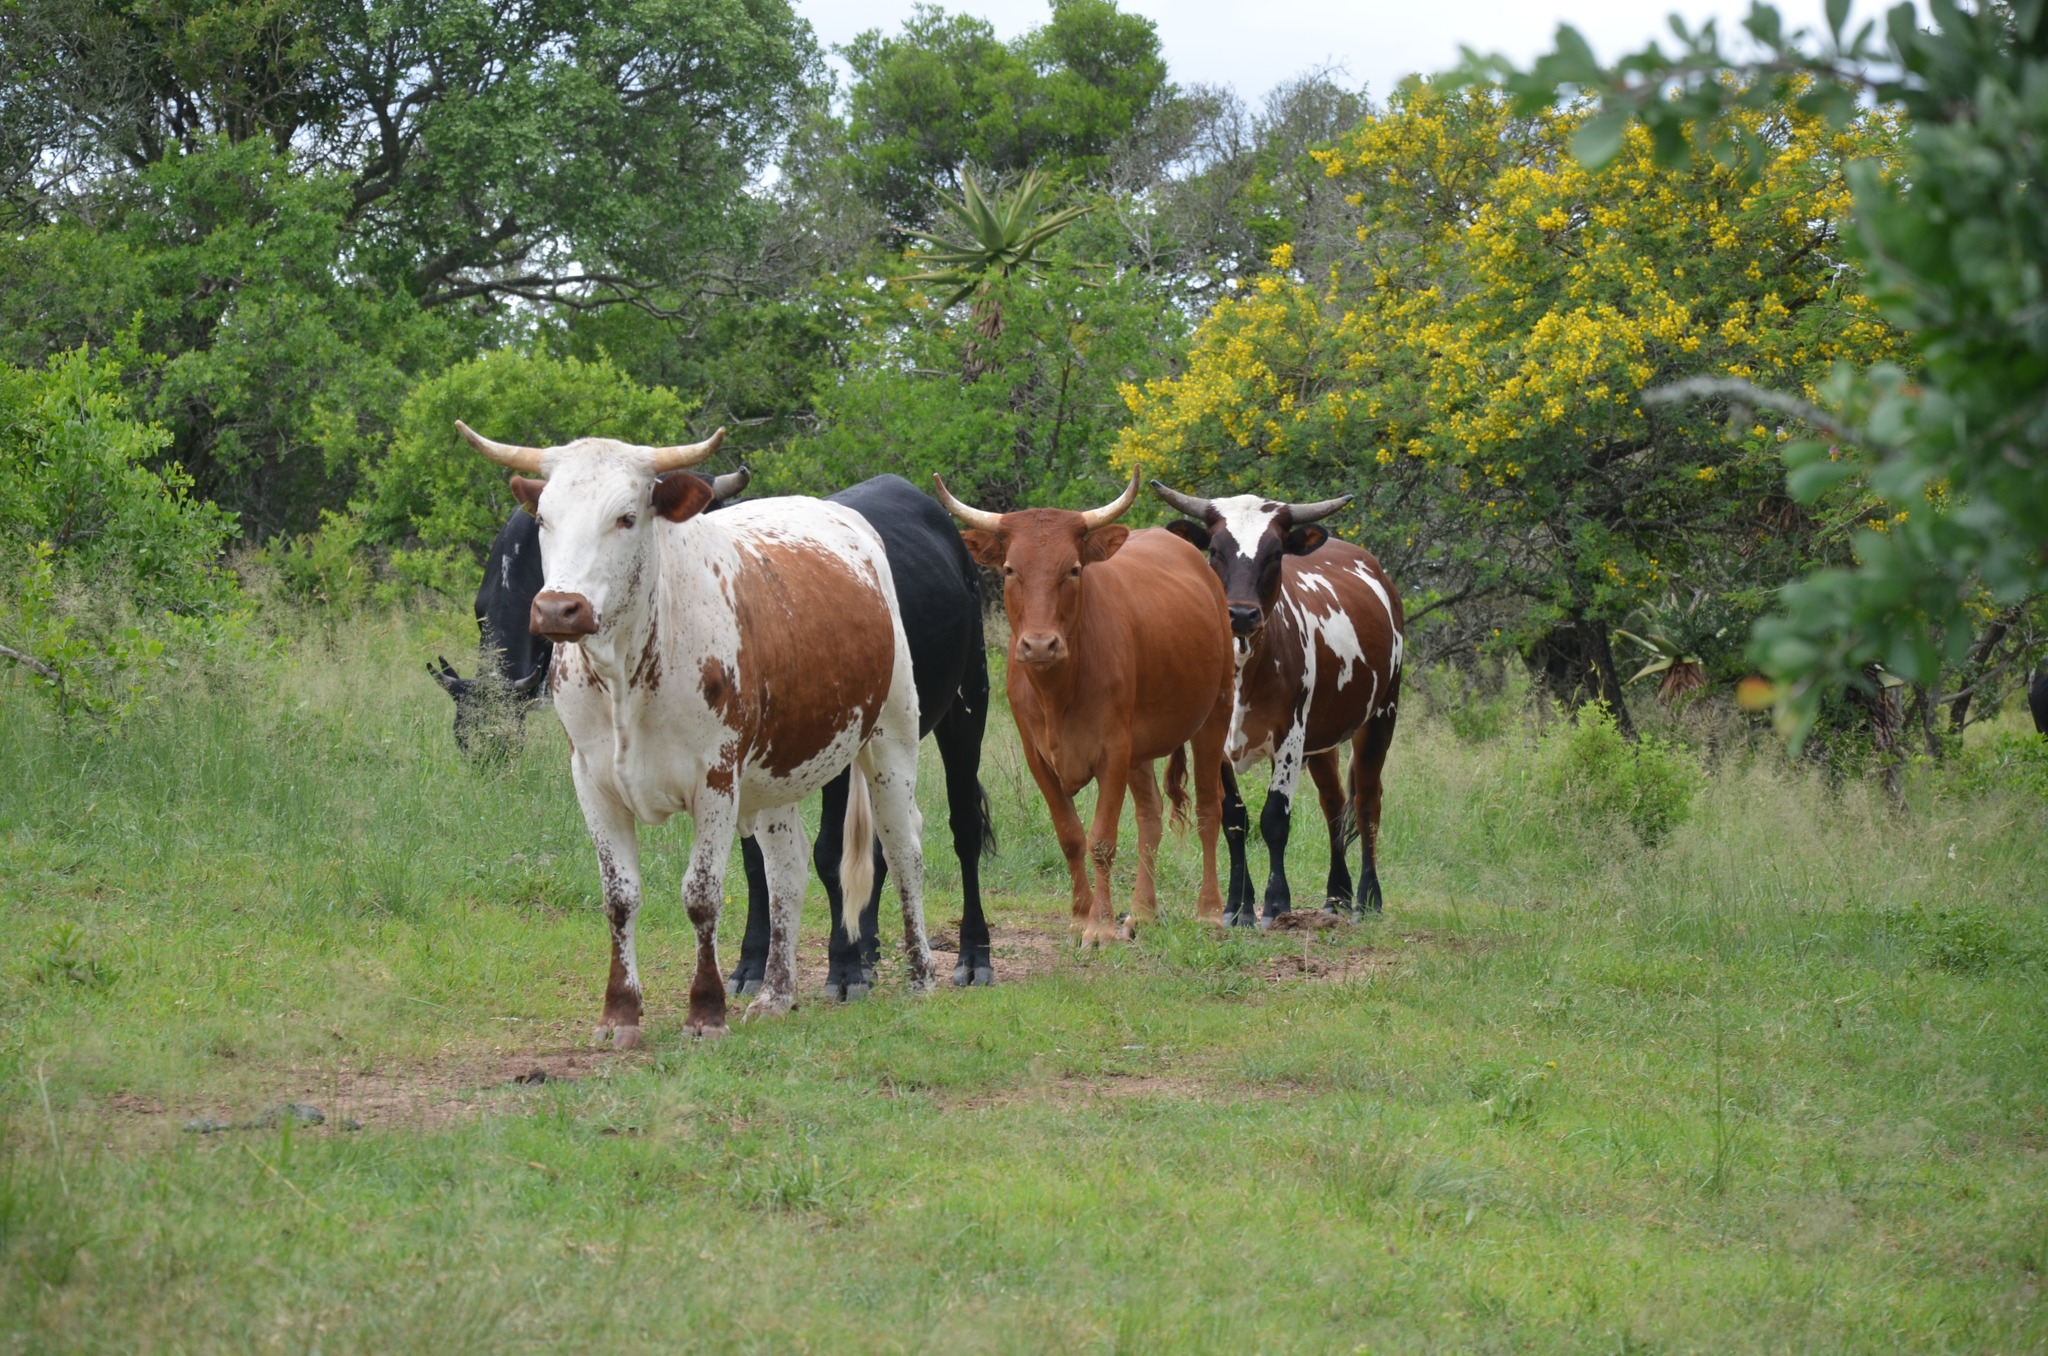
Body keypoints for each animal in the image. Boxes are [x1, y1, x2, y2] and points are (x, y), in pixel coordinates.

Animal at [936, 470, 1236, 941]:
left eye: (1073, 569)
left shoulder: (1113, 751)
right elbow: (1071, 836)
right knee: (1150, 816)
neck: (1058, 691)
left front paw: (1101, 927)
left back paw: (1208, 911)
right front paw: (1081, 916)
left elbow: (1102, 840)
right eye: (1010, 569)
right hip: (1141, 747)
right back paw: (1142, 912)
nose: (1040, 644)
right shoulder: (1039, 757)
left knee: (1209, 807)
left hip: (1215, 714)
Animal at [1152, 481, 1404, 924]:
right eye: (1214, 550)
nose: (1240, 614)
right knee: (1334, 803)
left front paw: (1275, 902)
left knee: (1368, 801)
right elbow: (1233, 818)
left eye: (1274, 553)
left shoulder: (1289, 737)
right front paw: (1238, 906)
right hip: (1322, 739)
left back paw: (1368, 899)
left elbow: (1274, 819)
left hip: (1380, 717)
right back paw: (1336, 895)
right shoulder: (1215, 740)